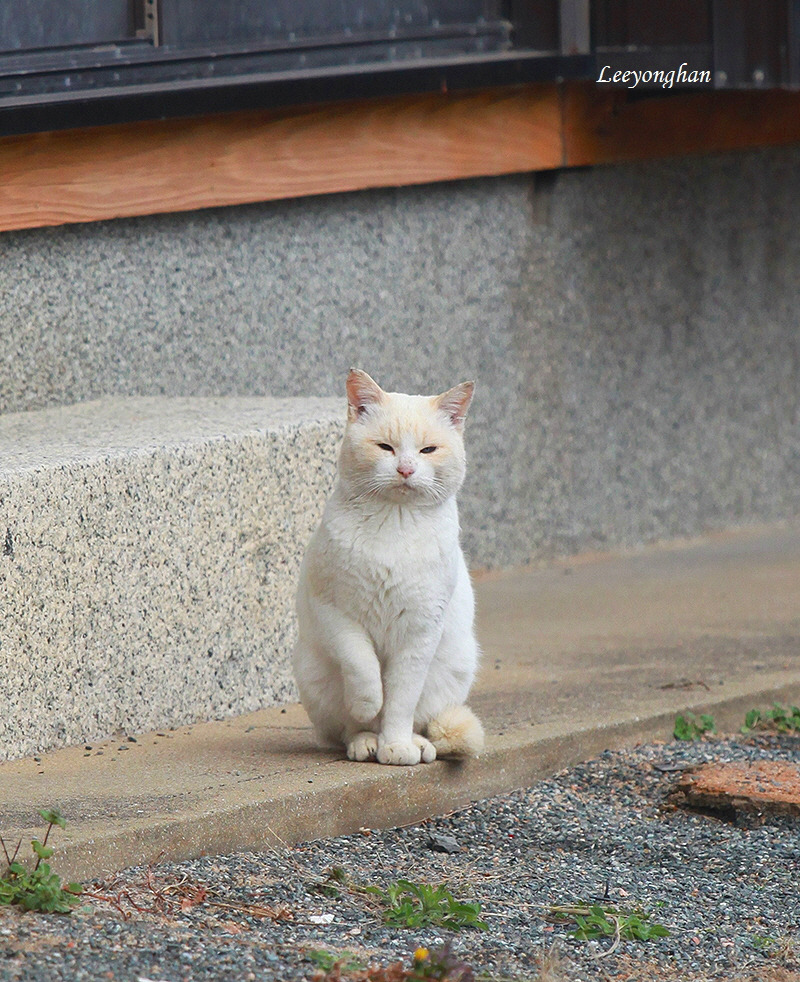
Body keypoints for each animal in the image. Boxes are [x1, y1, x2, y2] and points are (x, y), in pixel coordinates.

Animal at [290, 368, 484, 768]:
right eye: (385, 448)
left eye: (427, 450)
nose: (405, 469)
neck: (395, 521)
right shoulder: (336, 613)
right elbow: (363, 669)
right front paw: (368, 707)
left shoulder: (421, 630)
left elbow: (399, 700)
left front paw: (395, 747)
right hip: (312, 673)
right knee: (345, 731)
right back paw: (365, 741)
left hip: (454, 666)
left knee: (422, 721)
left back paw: (415, 745)